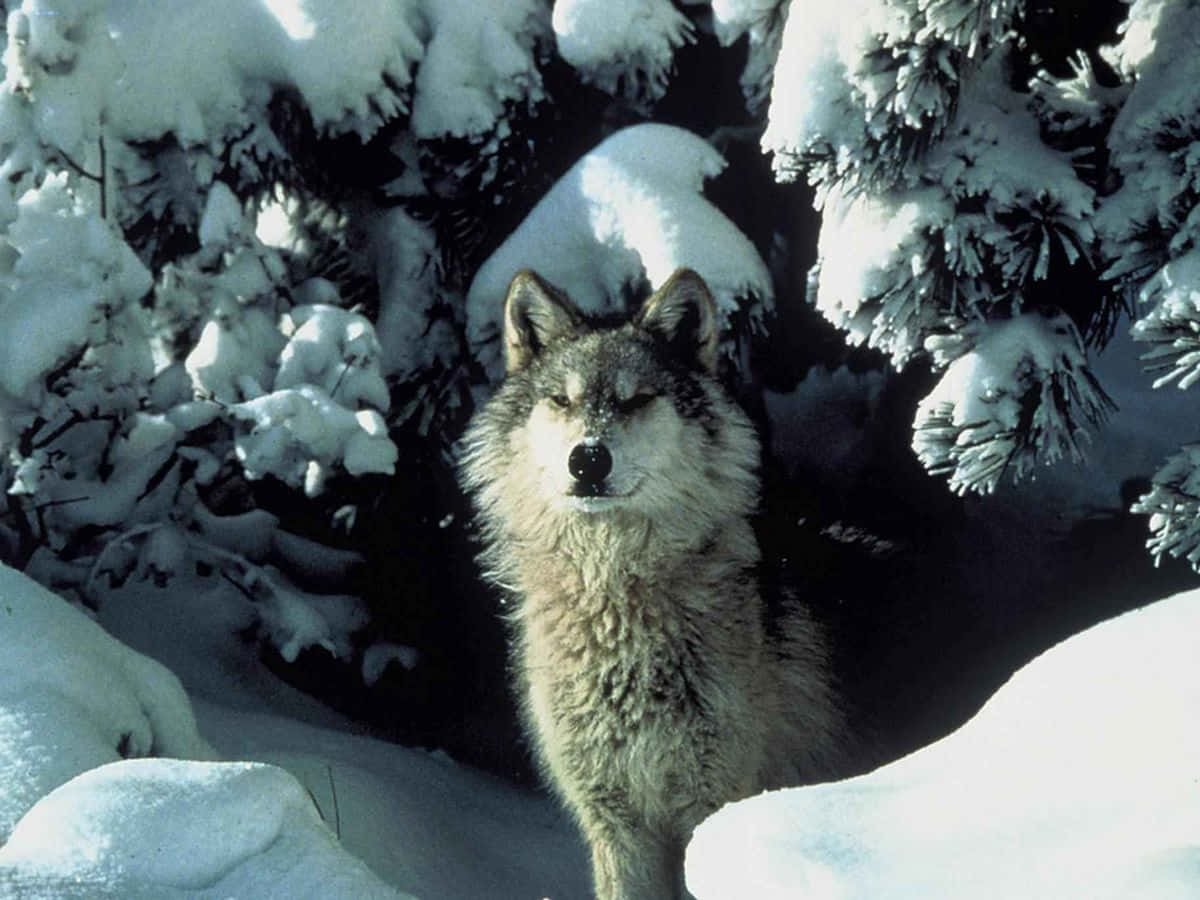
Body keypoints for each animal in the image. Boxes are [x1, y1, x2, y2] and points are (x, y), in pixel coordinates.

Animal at [459, 268, 846, 900]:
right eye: (561, 400)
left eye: (637, 399)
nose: (588, 459)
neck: (614, 601)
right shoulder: (615, 823)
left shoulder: (710, 807)